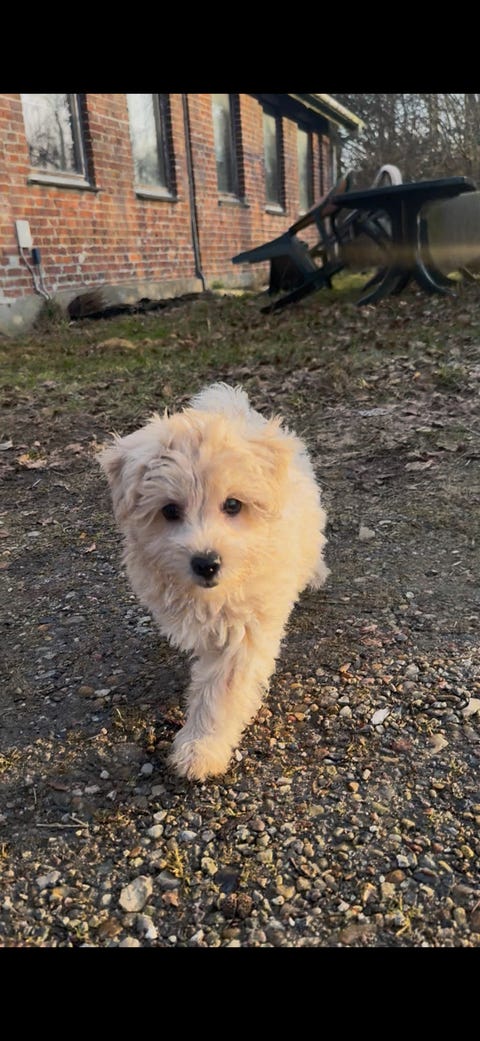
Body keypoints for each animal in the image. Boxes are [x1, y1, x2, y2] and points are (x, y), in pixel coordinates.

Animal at [99, 382, 329, 781]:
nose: (206, 563)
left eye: (233, 505)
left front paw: (201, 747)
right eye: (170, 510)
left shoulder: (244, 631)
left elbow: (221, 691)